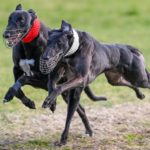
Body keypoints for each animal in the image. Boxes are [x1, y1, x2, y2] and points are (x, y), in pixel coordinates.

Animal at [2, 3, 106, 139]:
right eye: (9, 19)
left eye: (21, 20)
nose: (6, 34)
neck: (29, 43)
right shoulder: (16, 69)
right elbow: (18, 88)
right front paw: (26, 101)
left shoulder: (43, 77)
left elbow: (24, 78)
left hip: (69, 92)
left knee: (80, 109)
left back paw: (88, 130)